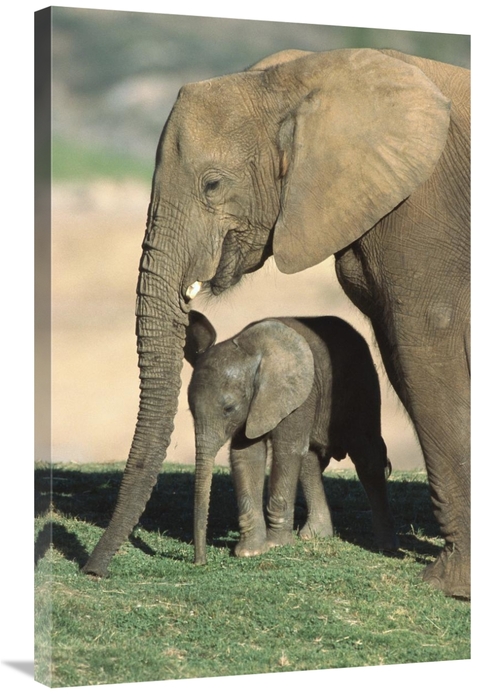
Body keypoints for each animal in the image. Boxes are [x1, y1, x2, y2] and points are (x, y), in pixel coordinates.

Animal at [184, 310, 398, 565]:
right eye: (190, 410)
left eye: (229, 408)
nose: (200, 562)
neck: (249, 351)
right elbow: (247, 454)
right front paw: (250, 552)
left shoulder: (298, 394)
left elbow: (287, 449)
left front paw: (275, 545)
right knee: (310, 462)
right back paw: (314, 535)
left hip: (362, 383)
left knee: (367, 456)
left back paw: (385, 545)